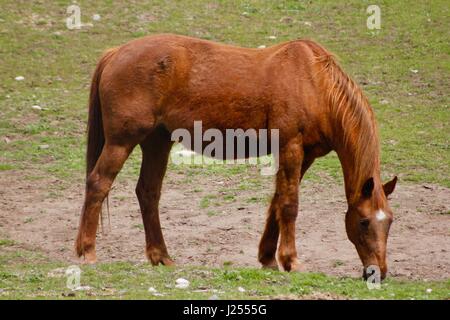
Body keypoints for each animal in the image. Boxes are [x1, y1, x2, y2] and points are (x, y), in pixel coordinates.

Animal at [76, 33, 398, 280]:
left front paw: (268, 257)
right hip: (121, 142)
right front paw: (292, 261)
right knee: (99, 183)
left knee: (148, 192)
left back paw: (161, 256)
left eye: (390, 222)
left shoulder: (304, 156)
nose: (377, 273)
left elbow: (277, 202)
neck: (315, 82)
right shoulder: (291, 148)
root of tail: (116, 53)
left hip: (157, 143)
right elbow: (290, 205)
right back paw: (87, 251)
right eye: (364, 222)